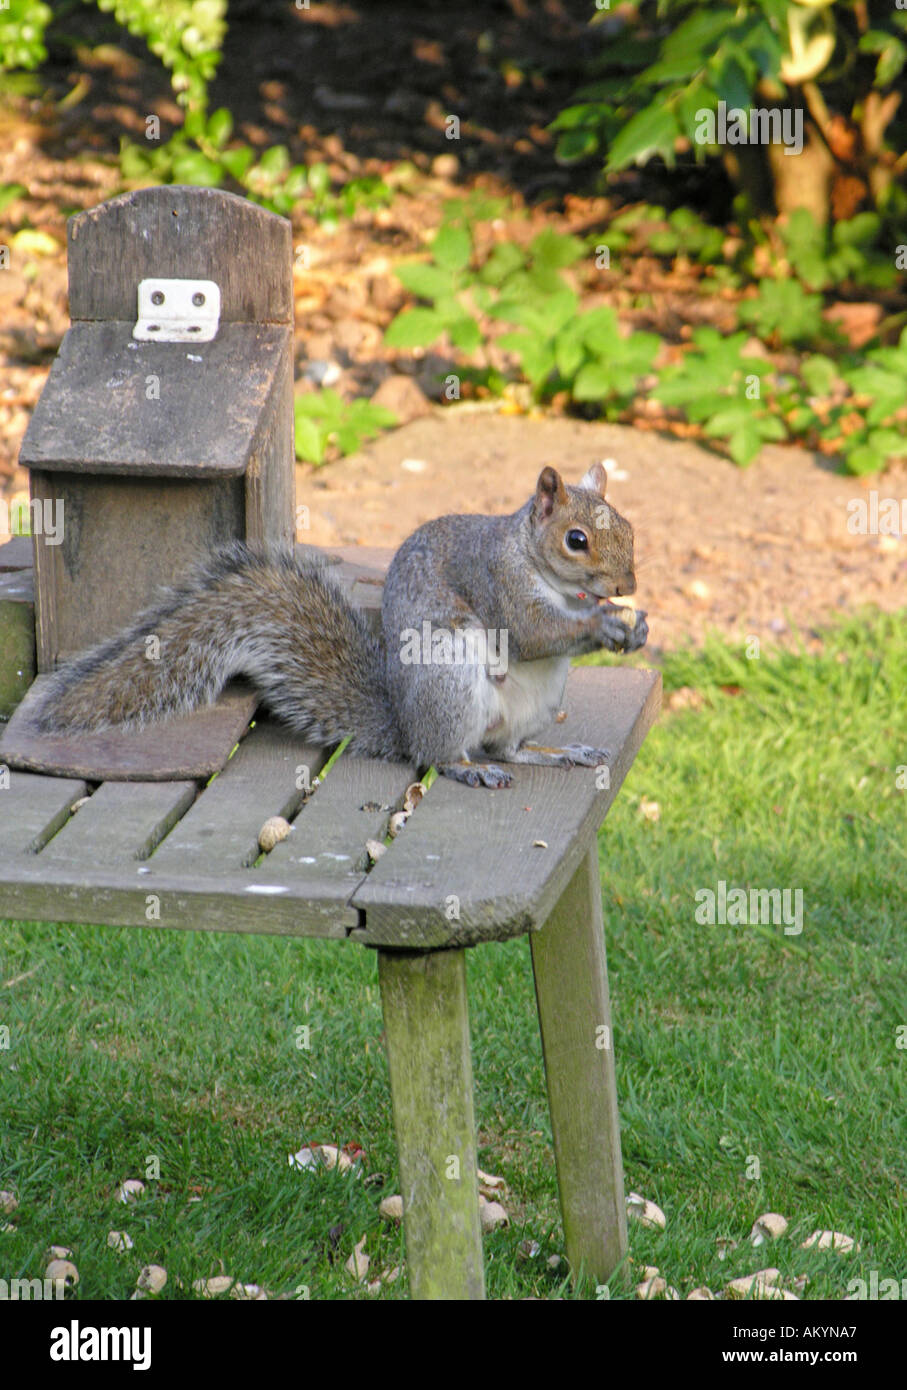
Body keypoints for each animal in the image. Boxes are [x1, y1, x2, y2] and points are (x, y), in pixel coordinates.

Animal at [31, 462, 648, 789]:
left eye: (628, 527)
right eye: (576, 539)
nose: (627, 586)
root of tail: (404, 726)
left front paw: (633, 627)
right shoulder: (494, 579)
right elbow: (531, 632)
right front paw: (605, 625)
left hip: (540, 701)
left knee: (508, 748)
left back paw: (560, 752)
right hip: (449, 683)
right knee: (444, 754)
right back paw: (465, 767)